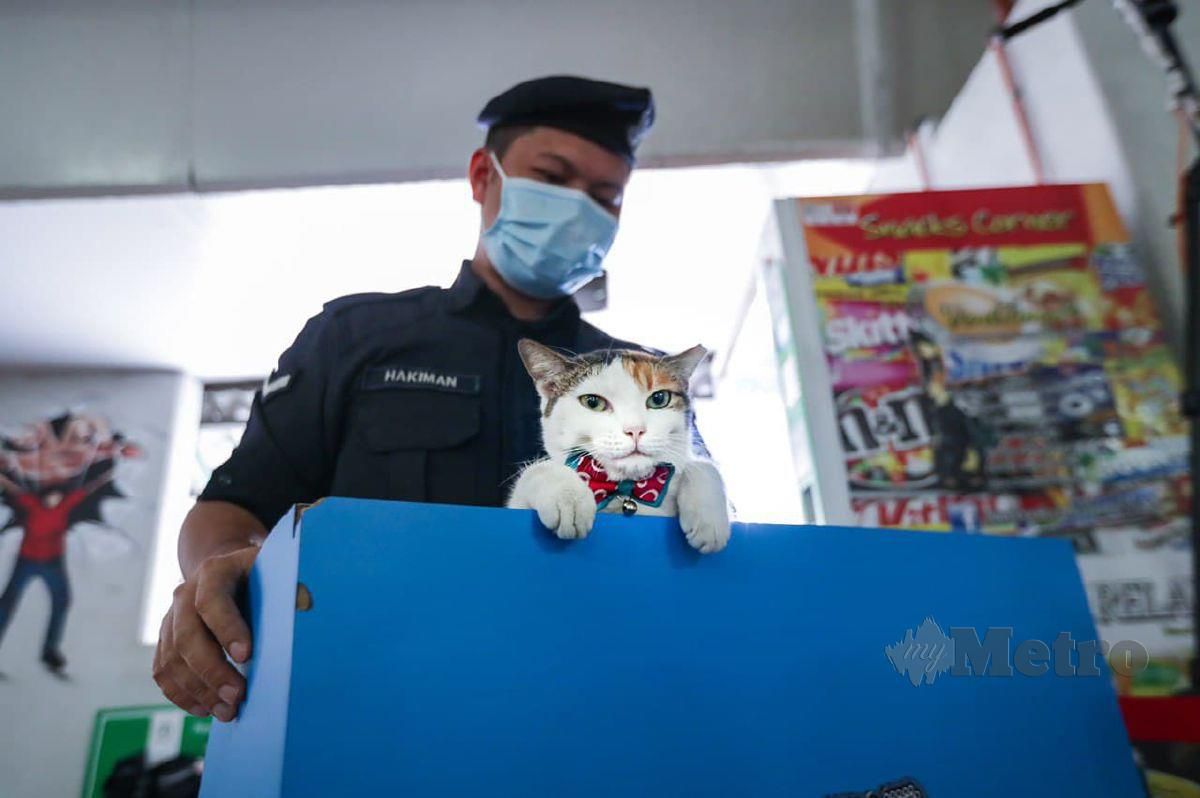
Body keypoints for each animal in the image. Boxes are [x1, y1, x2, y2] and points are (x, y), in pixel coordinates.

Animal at [506, 338, 729, 554]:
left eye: (659, 399)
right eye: (592, 402)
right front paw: (568, 497)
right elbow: (538, 470)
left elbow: (702, 465)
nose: (635, 430)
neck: (626, 493)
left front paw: (710, 518)